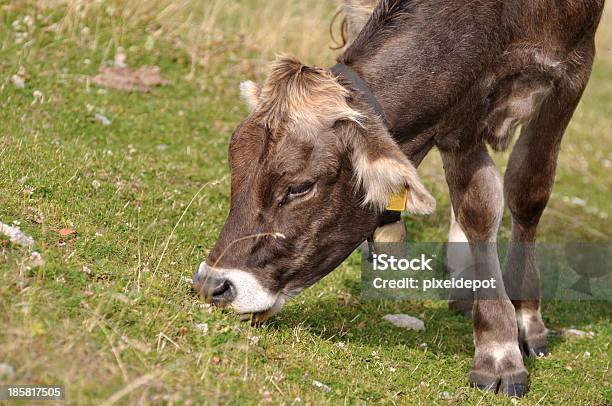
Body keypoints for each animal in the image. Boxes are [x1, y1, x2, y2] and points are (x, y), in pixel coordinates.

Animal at [194, 0, 604, 394]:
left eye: (300, 187)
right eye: (234, 168)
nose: (213, 285)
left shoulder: (573, 71)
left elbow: (526, 190)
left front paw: (522, 322)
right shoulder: (458, 112)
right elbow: (478, 208)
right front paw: (498, 348)